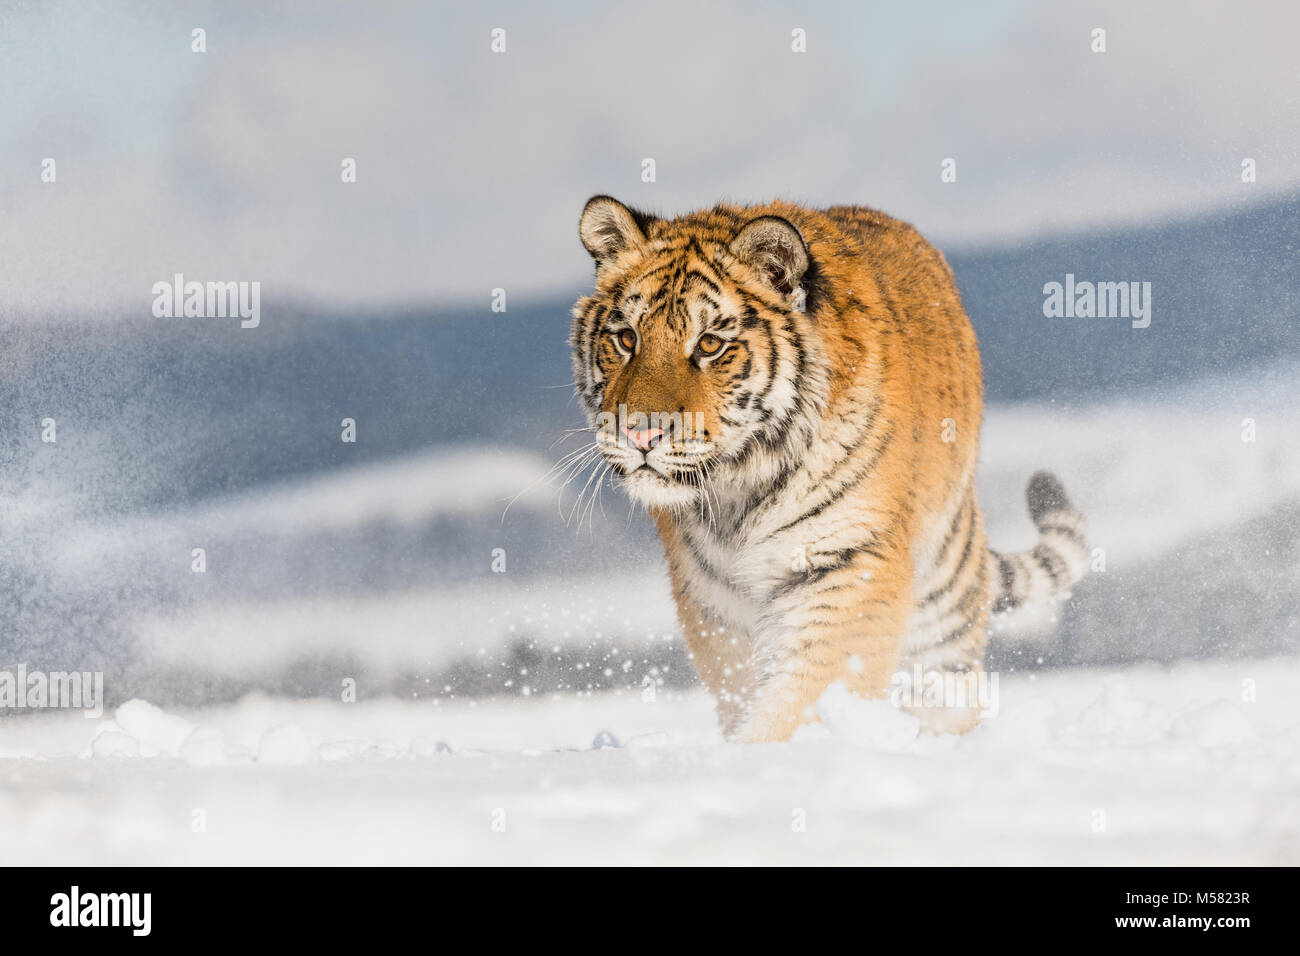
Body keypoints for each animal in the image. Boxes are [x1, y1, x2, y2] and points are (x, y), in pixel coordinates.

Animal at [569, 195, 1086, 743]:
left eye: (710, 345)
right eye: (626, 338)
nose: (638, 433)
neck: (738, 490)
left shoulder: (844, 564)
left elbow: (805, 693)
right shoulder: (711, 599)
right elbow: (742, 687)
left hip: (944, 597)